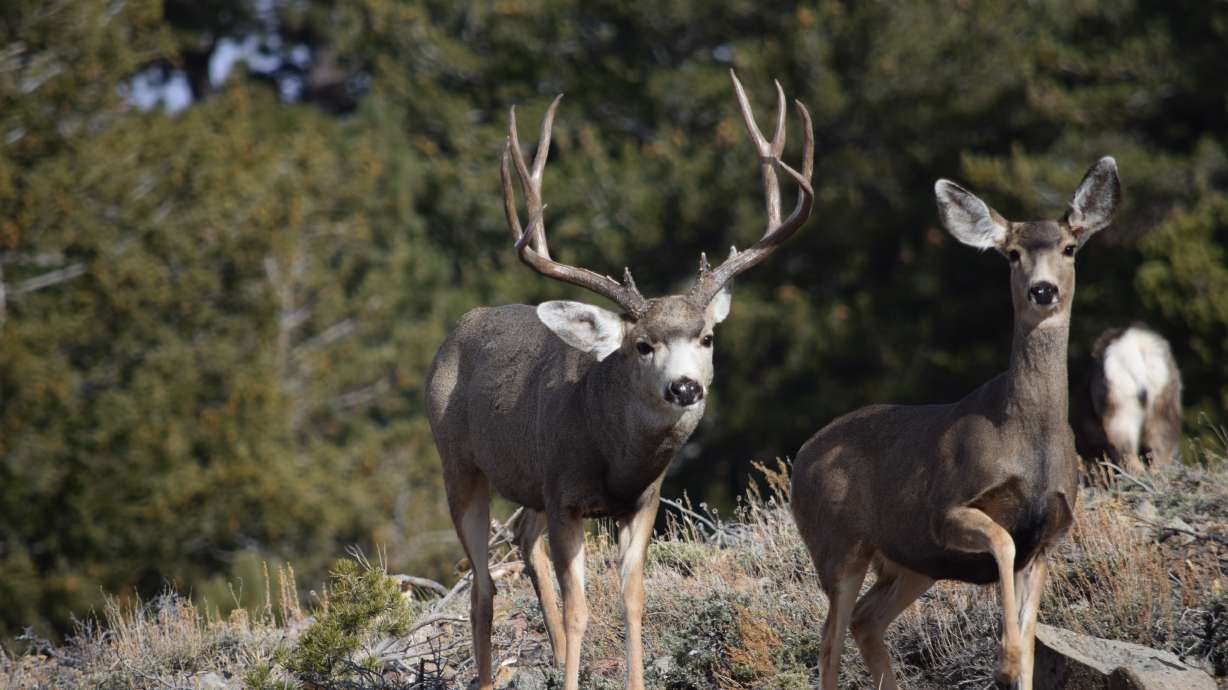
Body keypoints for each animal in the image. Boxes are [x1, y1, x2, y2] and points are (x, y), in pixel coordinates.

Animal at [425, 71, 814, 690]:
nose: (685, 387)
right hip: (458, 462)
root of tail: (454, 333)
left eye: (707, 338)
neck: (613, 455)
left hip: (529, 484)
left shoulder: (642, 501)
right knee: (483, 587)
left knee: (523, 543)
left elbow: (632, 598)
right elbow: (581, 607)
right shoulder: (565, 495)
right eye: (642, 345)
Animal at [790, 157, 1121, 690]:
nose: (1043, 289)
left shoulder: (1047, 538)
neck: (1030, 441)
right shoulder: (946, 511)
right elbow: (1002, 543)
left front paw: (1015, 661)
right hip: (837, 545)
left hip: (910, 563)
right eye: (1011, 254)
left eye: (1069, 248)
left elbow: (1031, 640)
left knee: (866, 620)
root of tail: (799, 458)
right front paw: (1003, 661)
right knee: (829, 641)